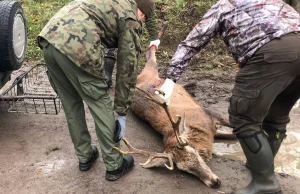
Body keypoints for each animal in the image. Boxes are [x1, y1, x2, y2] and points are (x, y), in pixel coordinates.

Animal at [114, 22, 234, 189]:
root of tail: (138, 81)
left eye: (195, 153)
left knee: (151, 56)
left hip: (151, 71)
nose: (215, 183)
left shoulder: (210, 114)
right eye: (185, 169)